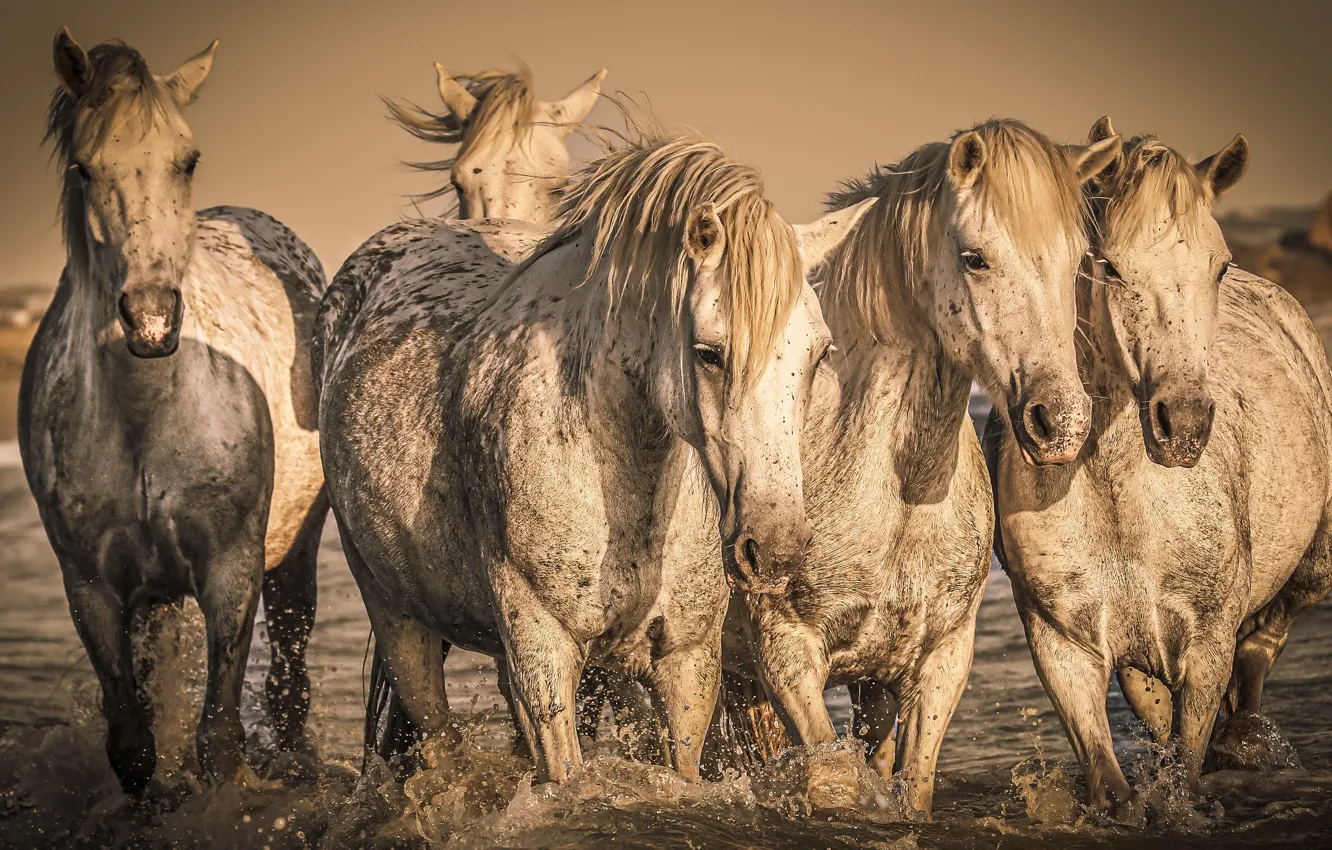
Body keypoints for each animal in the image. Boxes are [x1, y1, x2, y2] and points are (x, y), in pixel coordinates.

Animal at [18, 30, 327, 794]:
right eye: (83, 167)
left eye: (187, 159)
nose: (152, 318)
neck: (146, 414)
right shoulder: (92, 588)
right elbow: (133, 744)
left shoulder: (231, 572)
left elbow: (219, 740)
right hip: (152, 596)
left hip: (294, 557)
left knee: (289, 679)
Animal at [314, 130, 869, 782]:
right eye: (709, 352)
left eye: (820, 352)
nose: (775, 549)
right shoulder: (544, 653)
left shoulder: (687, 663)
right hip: (399, 622)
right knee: (437, 739)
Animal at [692, 119, 1121, 817]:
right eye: (975, 257)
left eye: (1077, 258)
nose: (1060, 422)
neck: (891, 494)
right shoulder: (788, 654)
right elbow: (831, 778)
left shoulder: (934, 660)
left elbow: (909, 788)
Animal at [987, 118, 1332, 819]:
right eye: (1111, 267)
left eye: (1218, 264)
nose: (1188, 424)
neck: (1122, 498)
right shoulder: (1065, 648)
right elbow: (1114, 783)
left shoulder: (1205, 644)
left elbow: (1190, 762)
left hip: (1312, 569)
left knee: (1264, 645)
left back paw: (1243, 743)